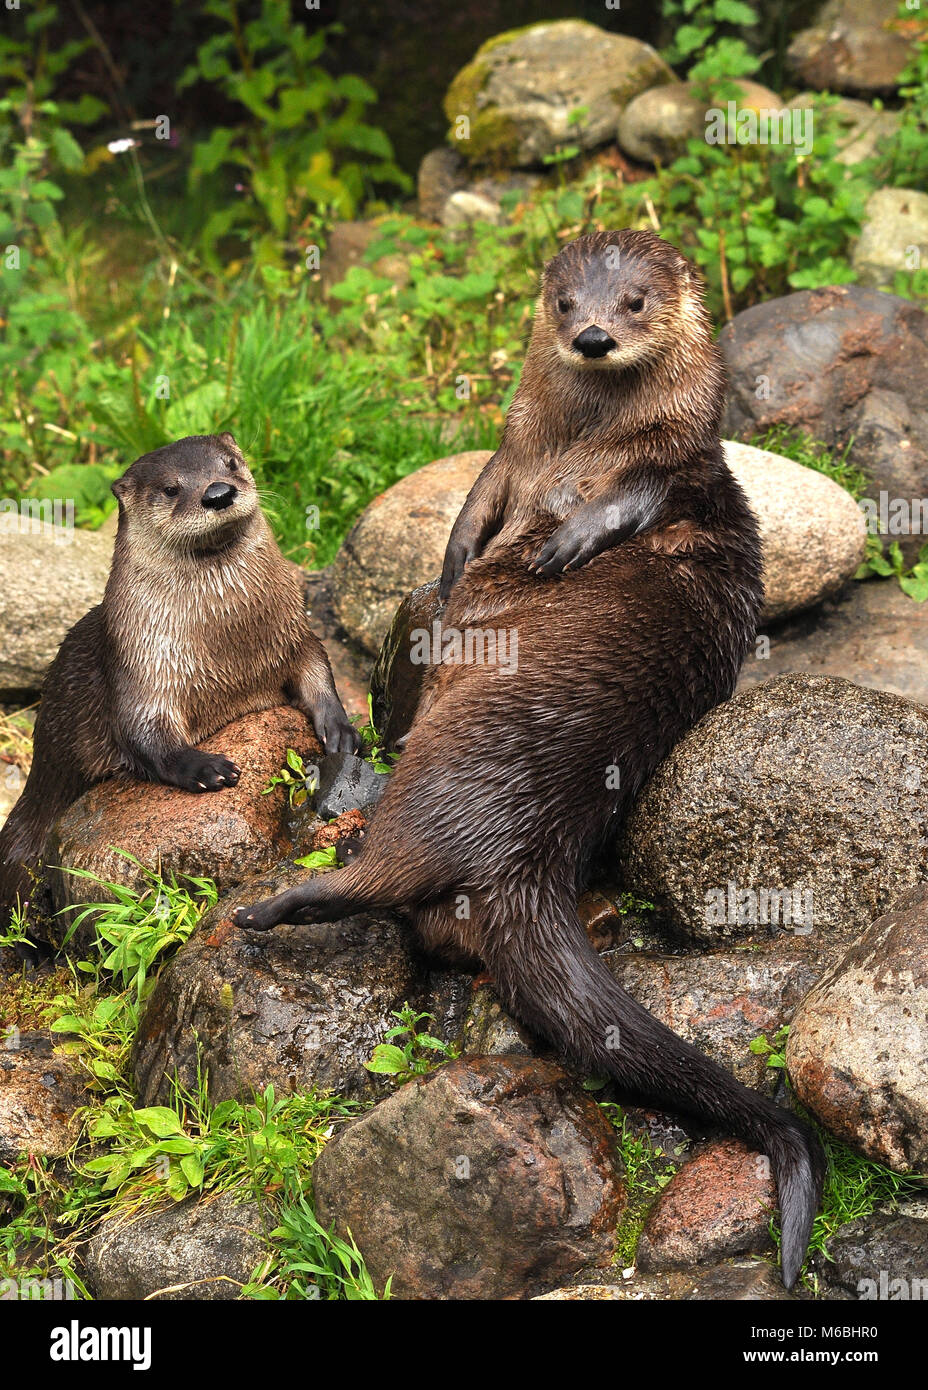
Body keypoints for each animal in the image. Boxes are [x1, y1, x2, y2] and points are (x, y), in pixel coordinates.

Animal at [0, 430, 358, 934]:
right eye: (171, 489)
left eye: (230, 463)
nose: (218, 493)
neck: (231, 644)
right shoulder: (142, 665)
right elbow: (144, 734)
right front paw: (207, 768)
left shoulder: (294, 631)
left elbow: (317, 670)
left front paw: (339, 729)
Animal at [236, 233, 822, 1284]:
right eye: (562, 300)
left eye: (634, 301)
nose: (592, 335)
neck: (575, 446)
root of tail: (528, 856)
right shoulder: (507, 454)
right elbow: (472, 511)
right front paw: (462, 558)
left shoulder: (675, 465)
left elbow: (644, 497)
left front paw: (573, 540)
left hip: (444, 777)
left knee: (381, 877)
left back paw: (281, 901)